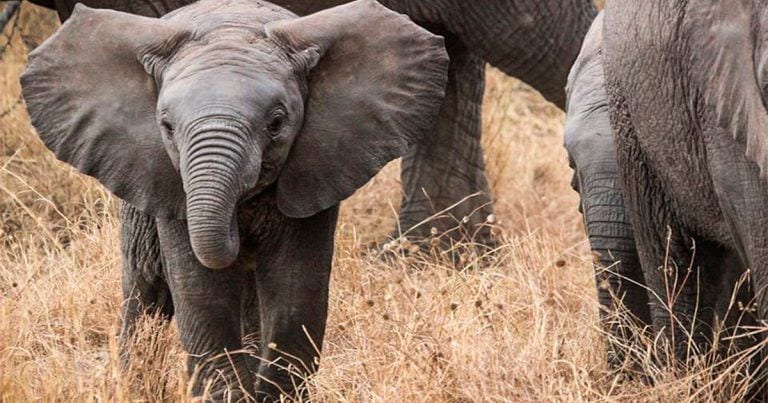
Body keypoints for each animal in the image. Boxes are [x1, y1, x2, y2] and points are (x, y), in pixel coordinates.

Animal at [21, 0, 449, 399]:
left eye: (276, 123)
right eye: (167, 127)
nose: (237, 230)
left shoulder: (319, 166)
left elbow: (296, 290)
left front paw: (272, 395)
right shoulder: (168, 185)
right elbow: (202, 293)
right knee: (146, 291)